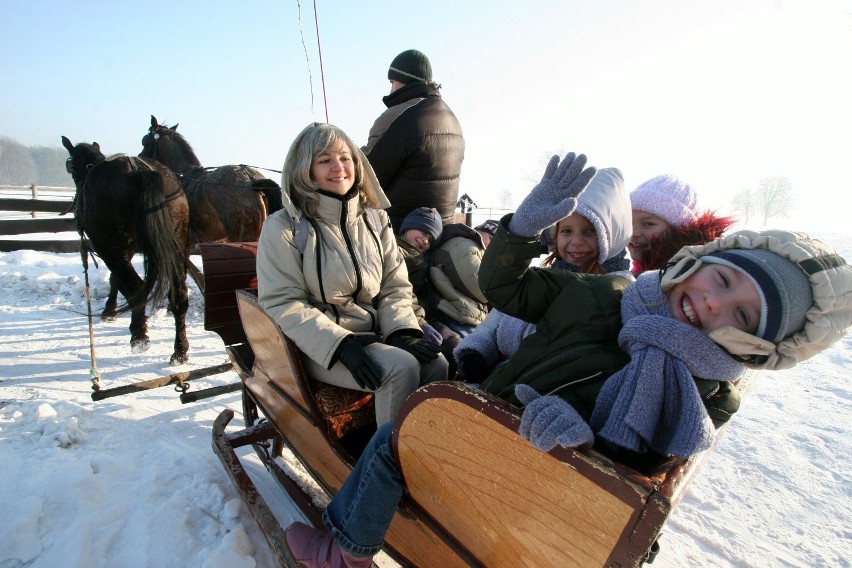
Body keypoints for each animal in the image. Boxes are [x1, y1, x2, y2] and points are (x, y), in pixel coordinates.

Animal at [62, 136, 192, 364]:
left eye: (71, 166)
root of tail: (139, 171)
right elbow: (116, 280)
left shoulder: (111, 248)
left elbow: (117, 280)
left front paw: (110, 311)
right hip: (175, 245)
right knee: (178, 295)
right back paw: (179, 350)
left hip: (111, 247)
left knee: (136, 289)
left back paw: (139, 336)